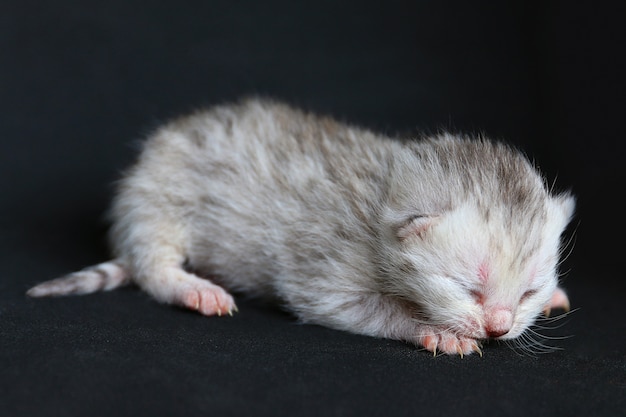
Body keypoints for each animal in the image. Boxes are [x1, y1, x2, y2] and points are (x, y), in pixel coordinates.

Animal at [30, 97, 576, 354]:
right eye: (467, 288)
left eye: (527, 292)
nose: (499, 327)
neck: (384, 185)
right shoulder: (326, 266)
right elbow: (353, 308)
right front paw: (433, 330)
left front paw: (552, 298)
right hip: (159, 194)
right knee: (152, 264)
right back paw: (192, 287)